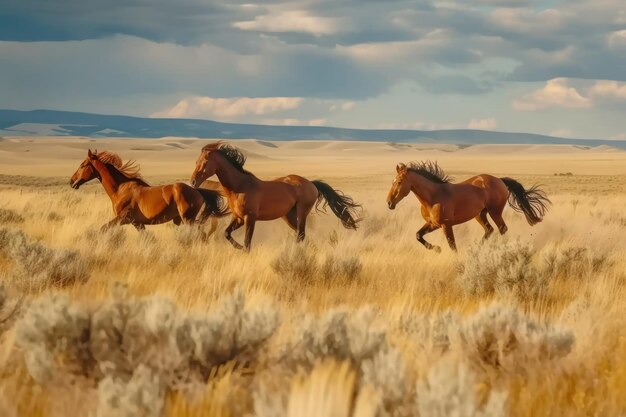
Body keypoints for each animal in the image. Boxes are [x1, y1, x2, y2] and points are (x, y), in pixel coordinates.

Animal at [70, 150, 227, 234]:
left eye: (83, 165)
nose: (72, 182)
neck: (120, 189)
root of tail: (198, 191)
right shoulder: (137, 223)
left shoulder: (123, 219)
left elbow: (103, 228)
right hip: (181, 220)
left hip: (188, 219)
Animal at [382, 159, 548, 250]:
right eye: (392, 181)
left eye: (399, 182)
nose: (389, 203)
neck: (433, 197)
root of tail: (500, 180)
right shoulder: (433, 224)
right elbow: (418, 235)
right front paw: (436, 249)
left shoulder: (446, 225)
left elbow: (452, 246)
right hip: (480, 214)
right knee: (489, 230)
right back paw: (478, 248)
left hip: (495, 212)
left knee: (502, 229)